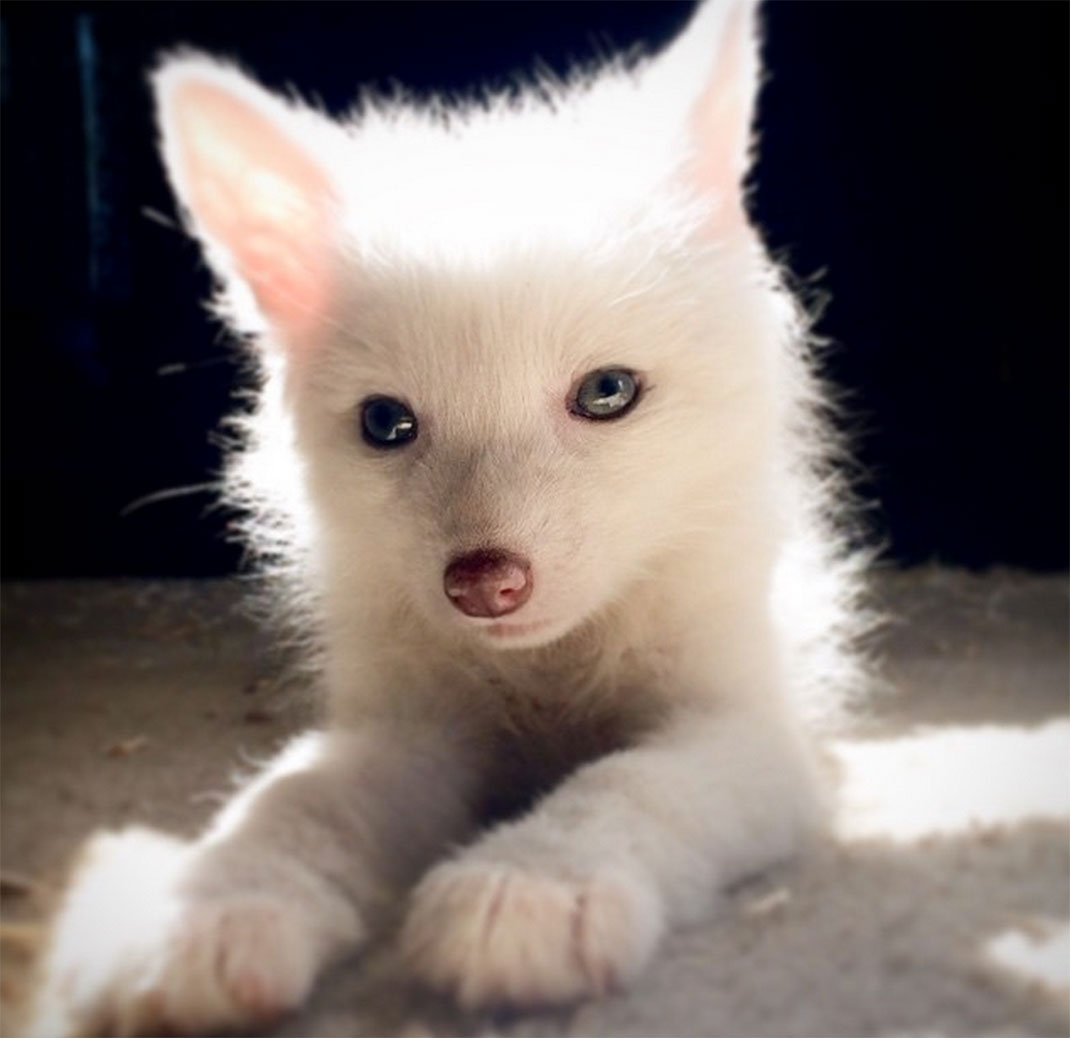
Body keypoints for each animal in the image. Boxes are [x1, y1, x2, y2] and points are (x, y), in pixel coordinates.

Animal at [31, 0, 866, 1034]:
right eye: (386, 424)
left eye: (607, 392)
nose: (484, 584)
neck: (548, 666)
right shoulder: (410, 727)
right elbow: (302, 796)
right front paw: (210, 905)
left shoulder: (747, 728)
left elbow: (632, 781)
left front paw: (533, 882)